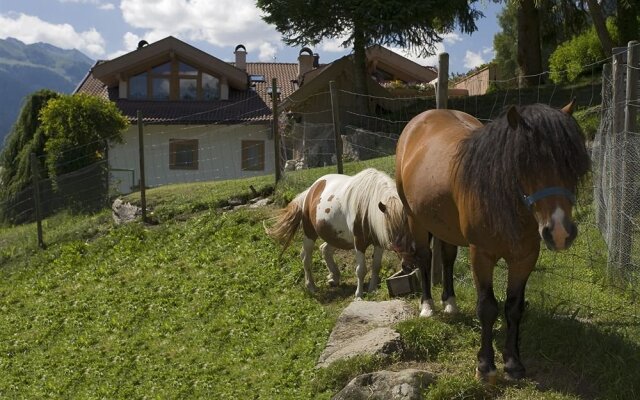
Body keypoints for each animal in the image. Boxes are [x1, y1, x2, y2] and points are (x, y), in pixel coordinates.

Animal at [266, 167, 410, 298]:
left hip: (337, 238)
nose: (407, 266)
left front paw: (372, 289)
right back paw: (311, 286)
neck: (368, 206)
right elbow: (361, 270)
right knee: (306, 258)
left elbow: (376, 266)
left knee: (324, 249)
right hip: (310, 234)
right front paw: (359, 294)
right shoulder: (359, 243)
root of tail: (311, 189)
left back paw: (334, 277)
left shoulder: (378, 242)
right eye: (392, 229)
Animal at [396, 101, 592, 382]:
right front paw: (485, 365)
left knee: (447, 258)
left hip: (444, 224)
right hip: (416, 220)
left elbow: (514, 307)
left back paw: (450, 303)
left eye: (571, 163)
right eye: (525, 162)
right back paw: (428, 307)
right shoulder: (482, 255)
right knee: (424, 259)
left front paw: (513, 363)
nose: (559, 232)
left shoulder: (525, 257)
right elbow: (487, 307)